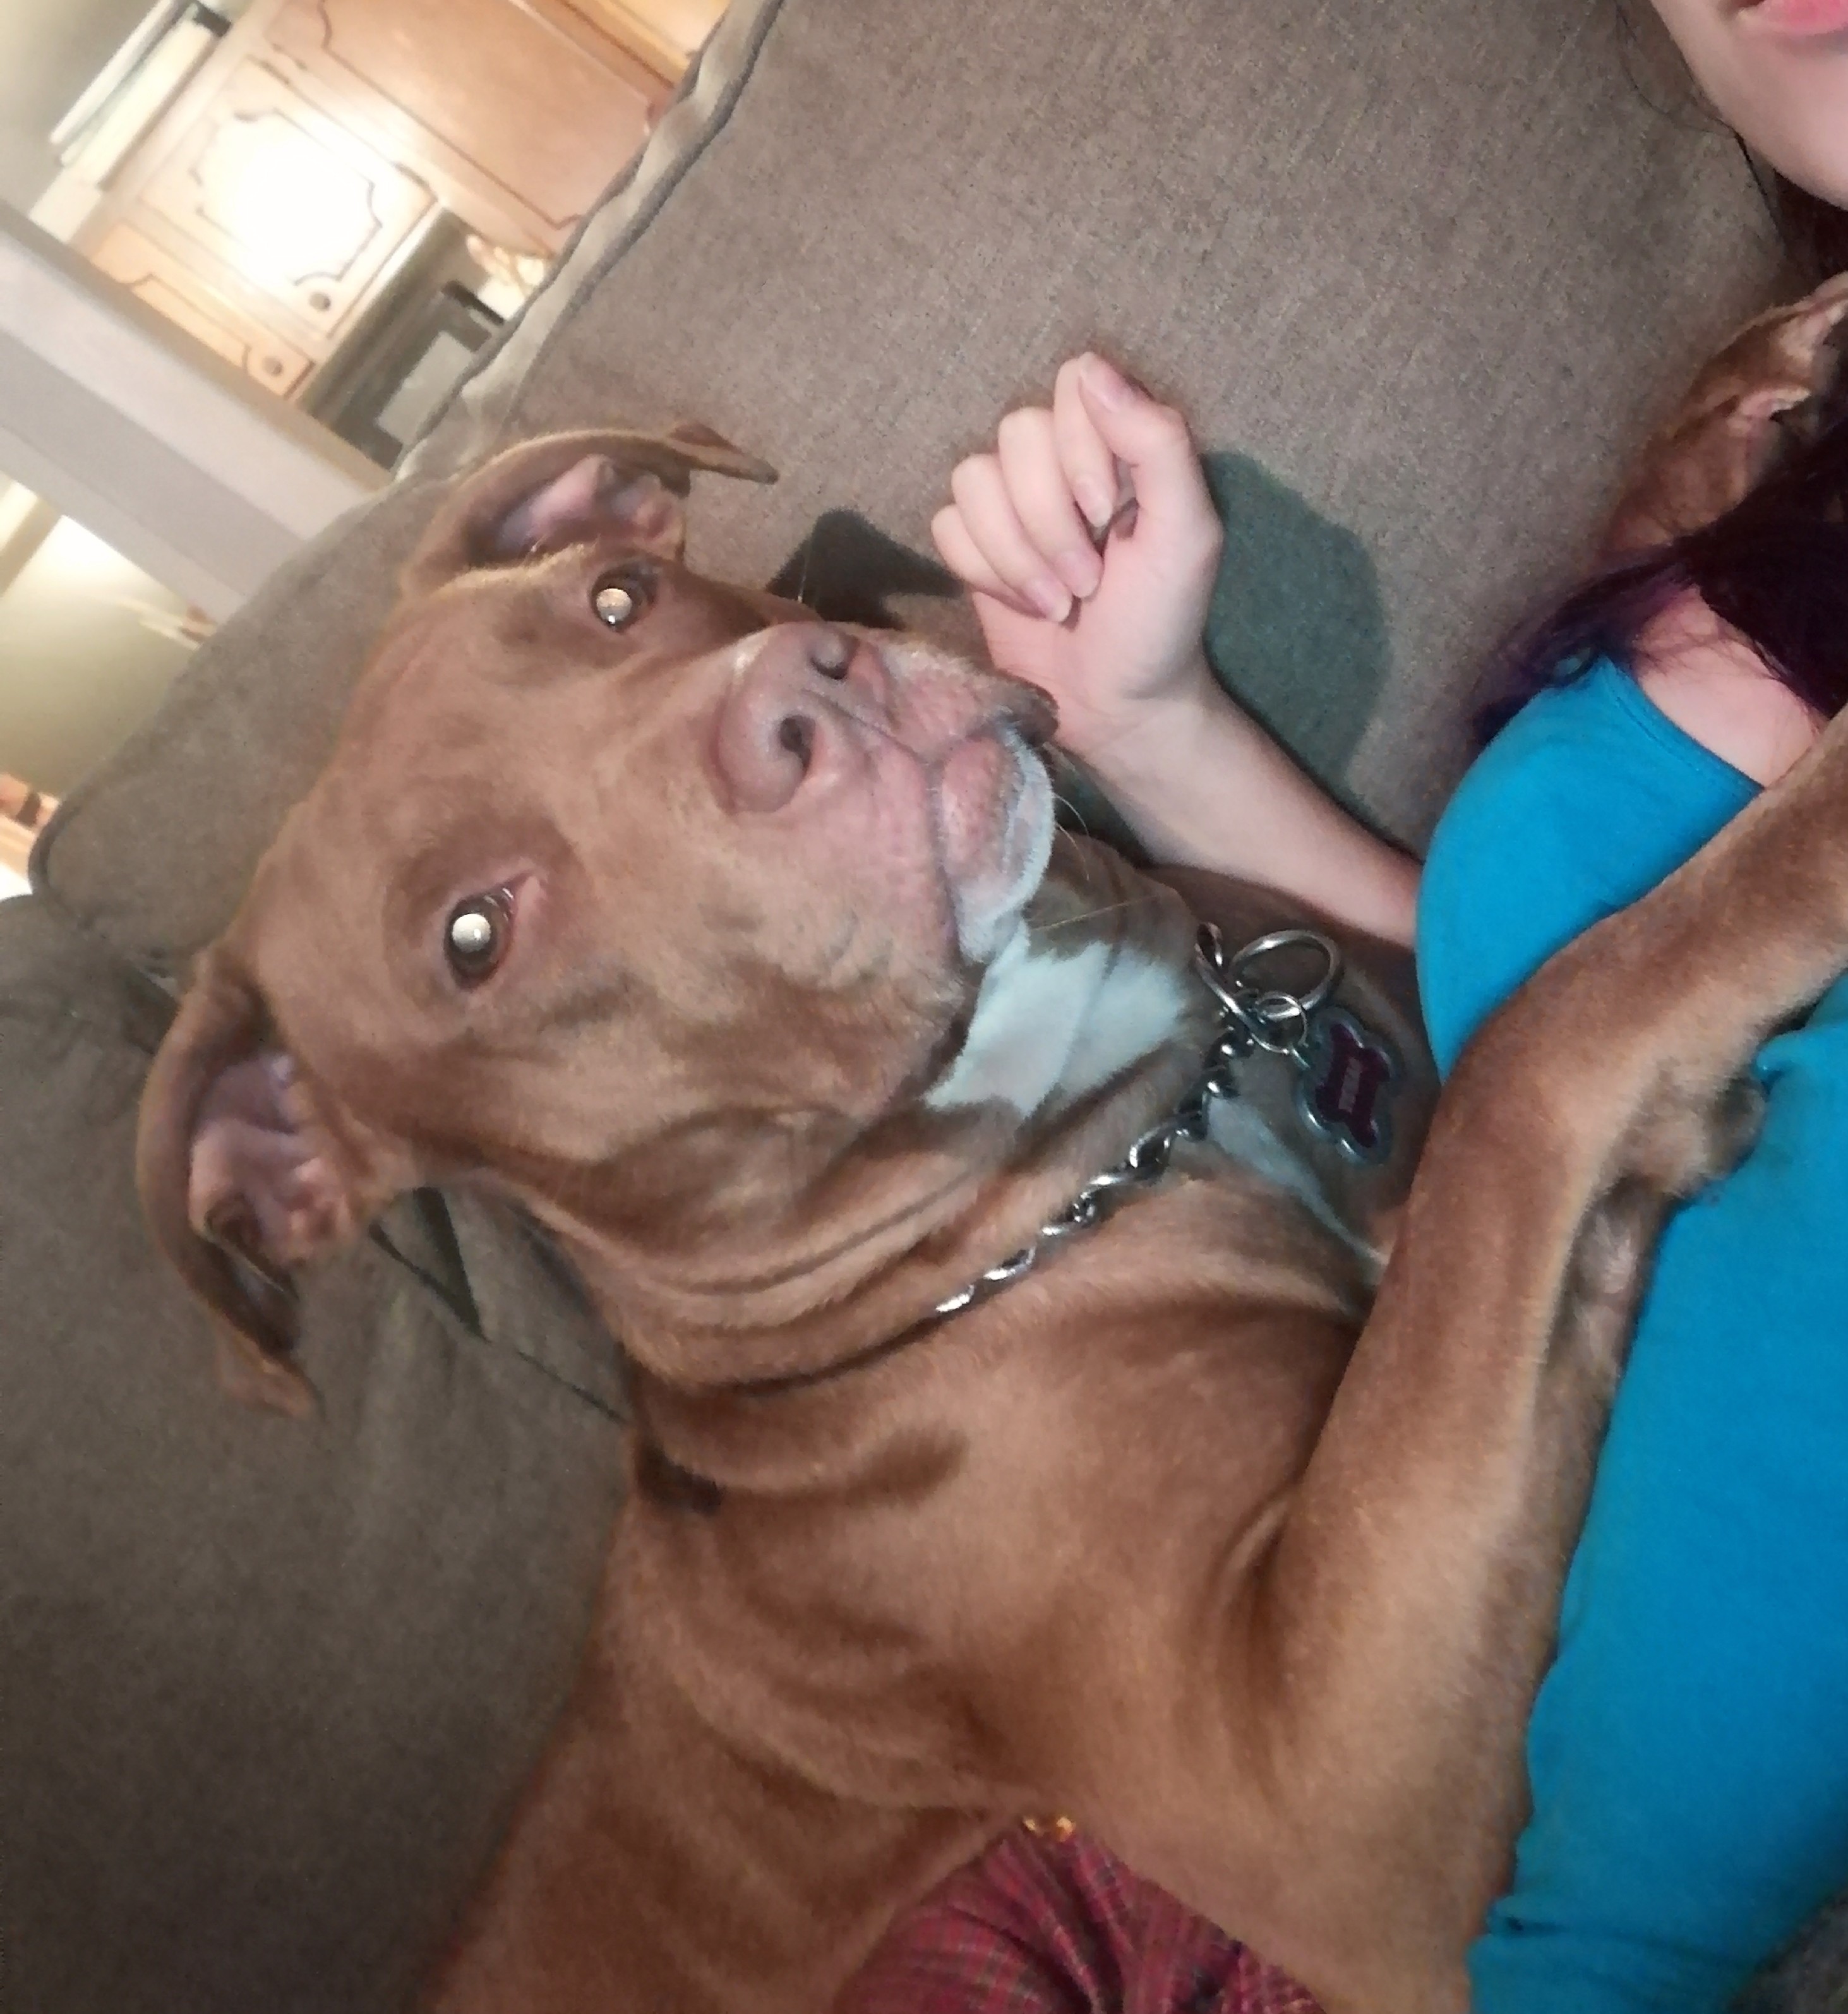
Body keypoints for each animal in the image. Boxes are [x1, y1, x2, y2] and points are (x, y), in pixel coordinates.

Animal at [134, 369, 1848, 2013]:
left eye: (622, 597)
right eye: (475, 938)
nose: (795, 701)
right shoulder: (1326, 1792)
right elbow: (1537, 1054)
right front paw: (1815, 824)